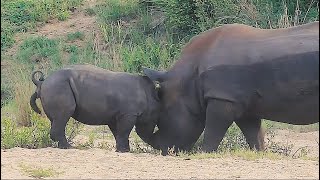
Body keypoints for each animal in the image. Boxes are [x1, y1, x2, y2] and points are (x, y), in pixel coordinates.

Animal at [30, 64, 160, 152]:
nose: (157, 146)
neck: (151, 97)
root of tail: (41, 83)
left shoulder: (115, 115)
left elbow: (118, 132)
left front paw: (123, 150)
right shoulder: (128, 113)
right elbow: (124, 131)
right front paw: (124, 151)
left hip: (53, 87)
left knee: (55, 119)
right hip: (57, 86)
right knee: (64, 115)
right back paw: (68, 147)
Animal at [144, 21, 318, 155]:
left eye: (163, 116)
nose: (165, 151)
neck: (186, 80)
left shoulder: (222, 97)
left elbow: (213, 130)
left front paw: (204, 152)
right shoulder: (242, 103)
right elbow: (253, 133)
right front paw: (260, 153)